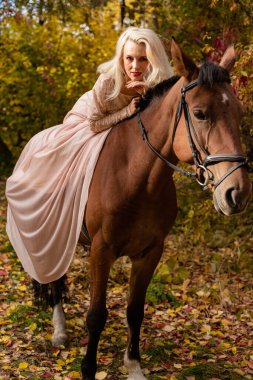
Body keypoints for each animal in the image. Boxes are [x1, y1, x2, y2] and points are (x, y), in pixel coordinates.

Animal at [33, 39, 251, 380]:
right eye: (200, 113)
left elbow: (135, 310)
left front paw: (134, 365)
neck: (135, 176)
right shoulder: (101, 251)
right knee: (54, 279)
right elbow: (96, 315)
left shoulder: (151, 251)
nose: (237, 193)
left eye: (239, 112)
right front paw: (88, 369)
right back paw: (59, 332)